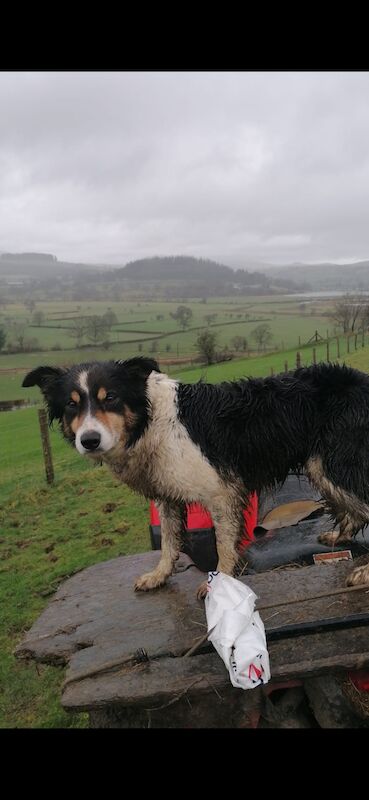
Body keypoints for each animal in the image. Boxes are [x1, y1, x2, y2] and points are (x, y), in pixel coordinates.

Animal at [22, 356, 368, 592]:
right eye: (72, 405)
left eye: (111, 398)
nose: (89, 440)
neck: (149, 422)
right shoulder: (166, 495)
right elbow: (169, 541)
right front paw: (159, 575)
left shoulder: (222, 492)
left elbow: (223, 546)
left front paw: (222, 582)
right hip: (322, 466)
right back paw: (339, 536)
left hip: (334, 463)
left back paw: (363, 572)